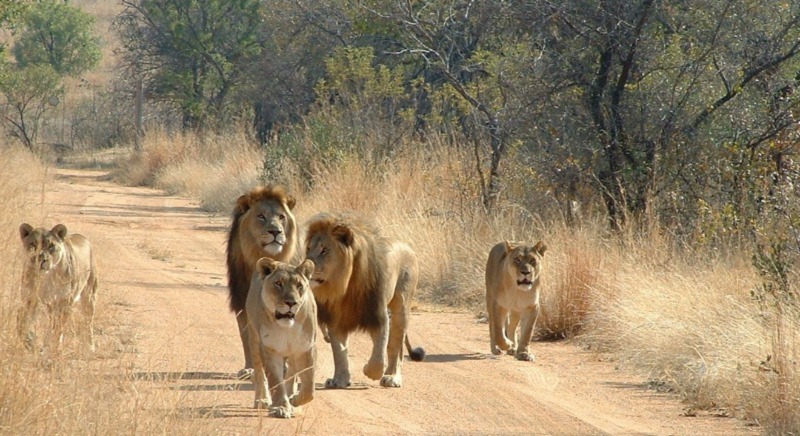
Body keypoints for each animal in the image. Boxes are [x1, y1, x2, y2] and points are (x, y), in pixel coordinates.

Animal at [18, 223, 98, 352]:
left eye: (51, 246)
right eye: (33, 244)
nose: (41, 259)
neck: (46, 276)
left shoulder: (65, 301)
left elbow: (59, 328)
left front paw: (55, 349)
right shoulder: (30, 298)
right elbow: (22, 323)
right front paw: (29, 342)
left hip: (89, 294)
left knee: (88, 321)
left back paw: (90, 347)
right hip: (52, 305)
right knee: (52, 322)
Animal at [227, 186, 298, 376]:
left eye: (281, 217)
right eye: (261, 216)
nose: (276, 232)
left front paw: (284, 367)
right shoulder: (241, 299)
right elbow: (246, 335)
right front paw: (250, 368)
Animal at [245, 258, 318, 418]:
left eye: (299, 285)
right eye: (278, 283)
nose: (291, 303)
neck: (287, 327)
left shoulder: (306, 348)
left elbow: (309, 387)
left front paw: (294, 401)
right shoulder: (269, 349)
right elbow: (275, 380)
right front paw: (281, 407)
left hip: (293, 353)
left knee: (292, 372)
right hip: (254, 341)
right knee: (260, 374)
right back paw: (262, 400)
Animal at [304, 214, 424, 388]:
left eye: (324, 250)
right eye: (308, 249)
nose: (304, 266)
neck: (345, 285)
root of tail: (407, 246)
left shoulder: (378, 315)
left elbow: (379, 355)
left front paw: (369, 370)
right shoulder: (336, 319)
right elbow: (339, 352)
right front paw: (339, 380)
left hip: (401, 306)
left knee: (396, 345)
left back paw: (392, 377)